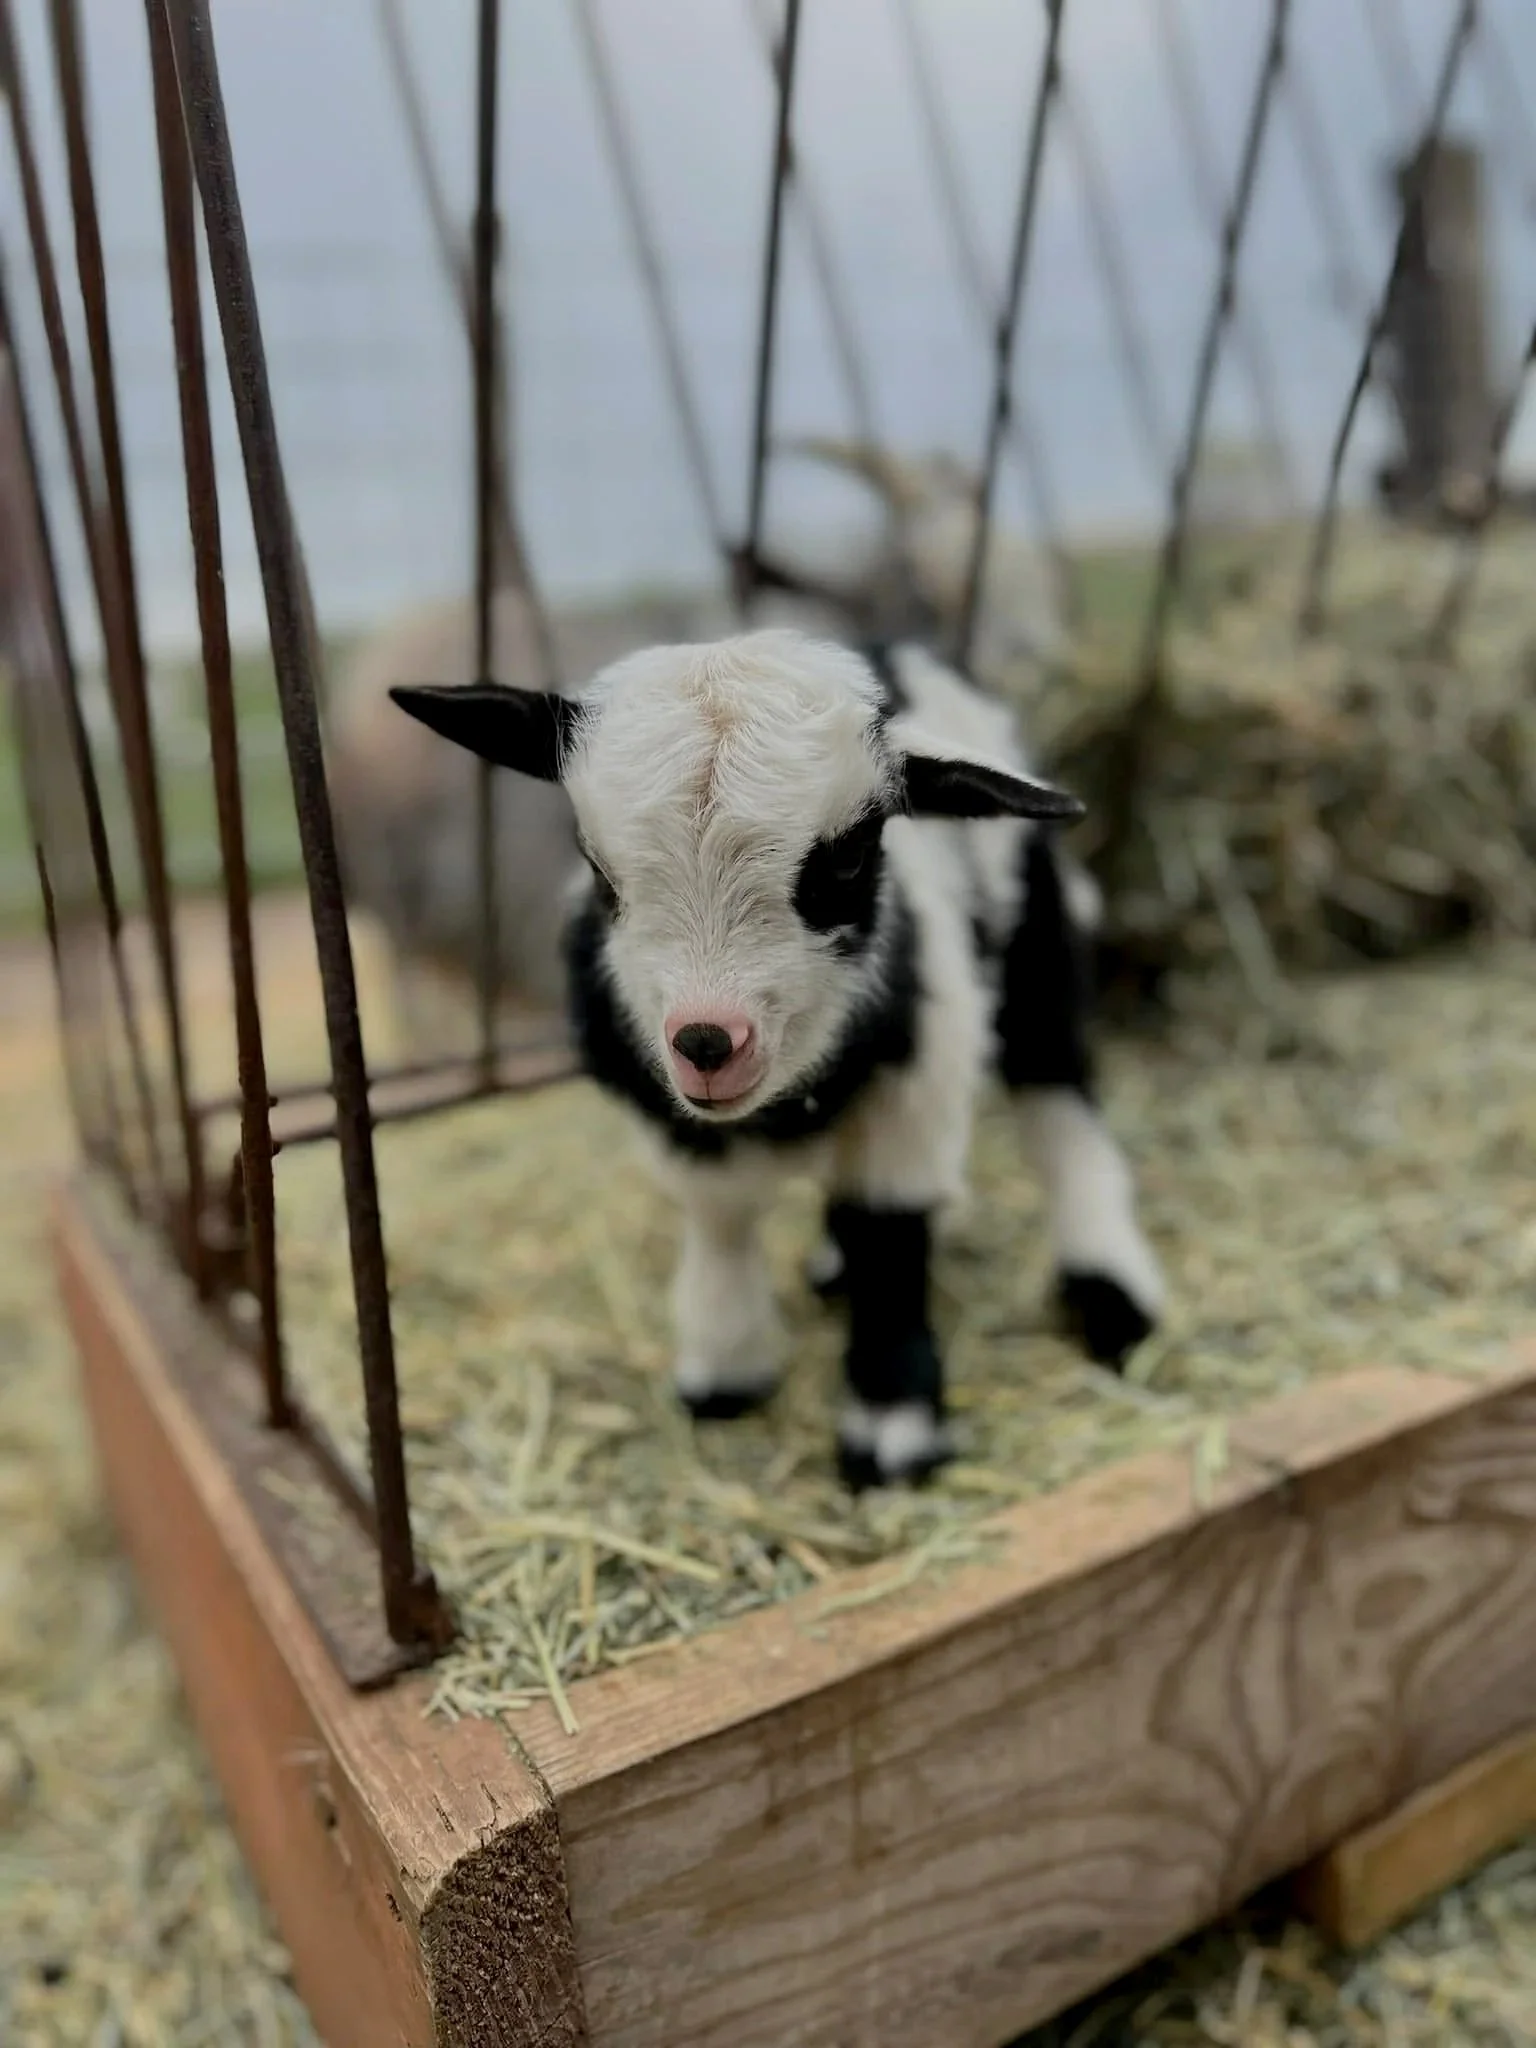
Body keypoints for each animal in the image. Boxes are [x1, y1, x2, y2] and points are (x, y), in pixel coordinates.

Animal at [392, 629, 1163, 1489]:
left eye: (849, 856)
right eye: (596, 865)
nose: (706, 1043)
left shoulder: (918, 1086)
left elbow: (890, 1236)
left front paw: (892, 1427)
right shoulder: (681, 1123)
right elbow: (722, 1221)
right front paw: (726, 1371)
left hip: (1035, 943)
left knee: (1060, 1101)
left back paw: (1111, 1290)